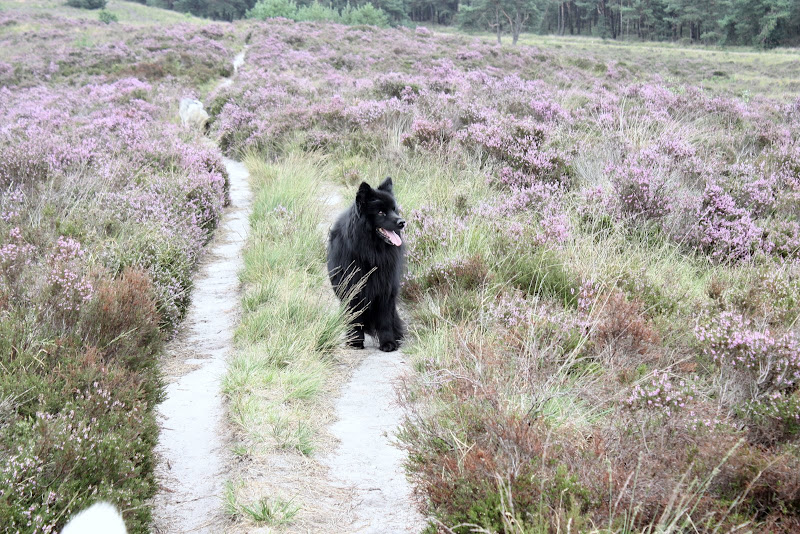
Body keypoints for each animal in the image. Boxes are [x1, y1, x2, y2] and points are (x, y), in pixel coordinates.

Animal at [326, 177, 406, 352]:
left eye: (394, 210)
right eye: (381, 212)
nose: (402, 222)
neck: (371, 252)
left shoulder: (386, 290)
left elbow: (385, 321)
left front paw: (388, 343)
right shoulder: (352, 289)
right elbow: (355, 319)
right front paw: (355, 342)